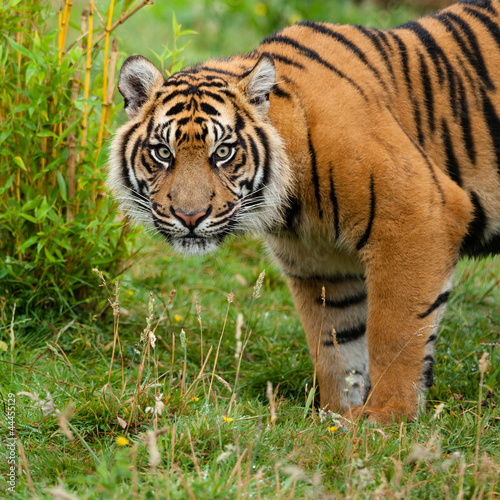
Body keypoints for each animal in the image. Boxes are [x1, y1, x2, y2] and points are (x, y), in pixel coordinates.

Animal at [108, 0, 500, 426]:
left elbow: (394, 331)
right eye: (163, 152)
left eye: (223, 152)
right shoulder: (321, 266)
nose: (190, 216)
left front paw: (386, 417)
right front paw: (336, 416)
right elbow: (335, 346)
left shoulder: (416, 214)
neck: (292, 203)